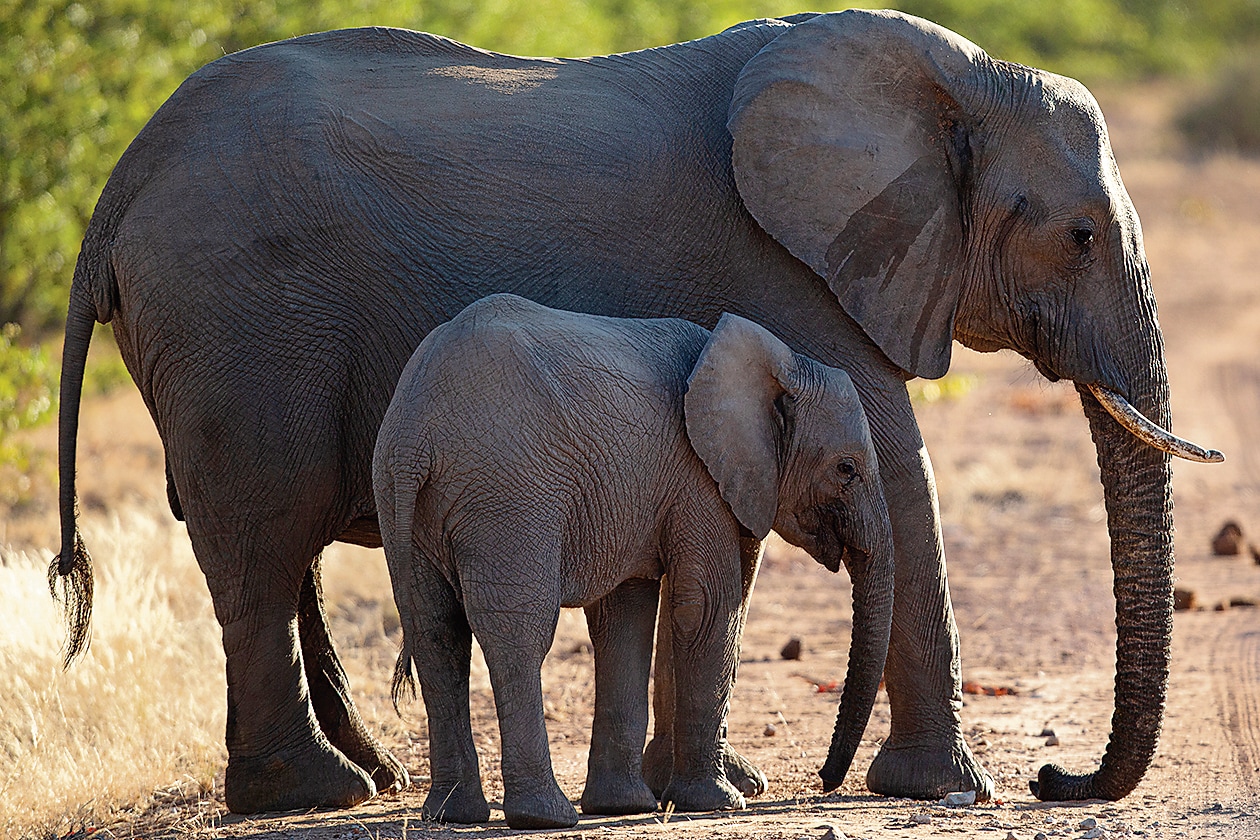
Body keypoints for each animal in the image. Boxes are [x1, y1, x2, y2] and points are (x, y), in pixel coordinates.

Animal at [372, 295, 894, 828]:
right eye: (846, 469)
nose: (824, 781)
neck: (780, 362)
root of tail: (415, 433)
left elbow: (624, 618)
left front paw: (621, 805)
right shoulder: (697, 477)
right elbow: (706, 607)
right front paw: (720, 802)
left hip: (401, 494)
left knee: (436, 633)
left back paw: (454, 814)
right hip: (507, 496)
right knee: (517, 634)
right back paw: (546, 816)